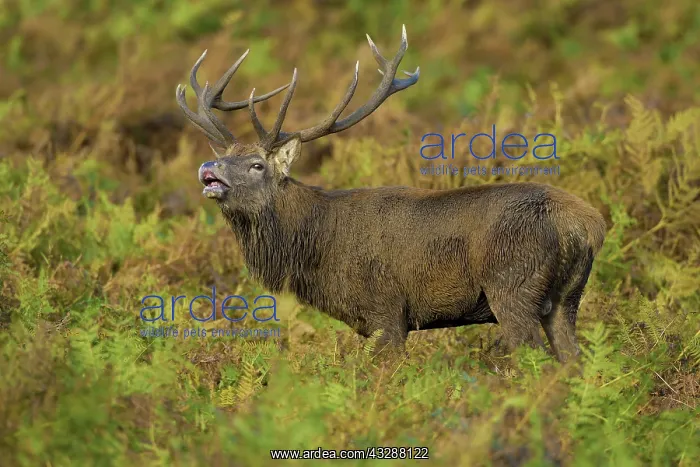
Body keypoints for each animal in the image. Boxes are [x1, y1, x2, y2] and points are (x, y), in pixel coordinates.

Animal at [175, 25, 606, 363]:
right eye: (224, 156)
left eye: (256, 165)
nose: (208, 169)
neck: (315, 246)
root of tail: (587, 226)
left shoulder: (388, 312)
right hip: (566, 298)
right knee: (573, 362)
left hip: (512, 285)